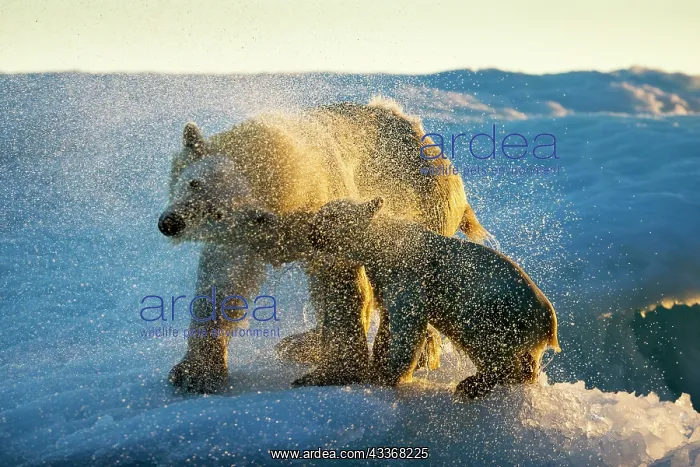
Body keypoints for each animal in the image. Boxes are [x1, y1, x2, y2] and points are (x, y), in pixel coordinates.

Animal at [158, 99, 490, 393]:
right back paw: (301, 343)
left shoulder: (327, 210)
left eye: (218, 212)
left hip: (424, 203)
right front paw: (194, 373)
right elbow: (223, 281)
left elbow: (340, 283)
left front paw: (333, 372)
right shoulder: (239, 240)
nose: (171, 223)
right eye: (194, 183)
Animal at [304, 198, 560, 399]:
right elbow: (389, 318)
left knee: (491, 348)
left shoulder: (409, 275)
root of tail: (549, 323)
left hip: (497, 312)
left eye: (329, 214)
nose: (310, 227)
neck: (389, 243)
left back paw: (471, 385)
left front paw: (387, 374)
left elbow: (407, 325)